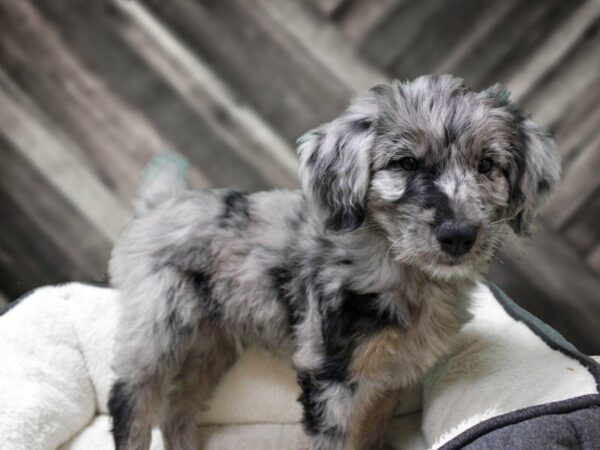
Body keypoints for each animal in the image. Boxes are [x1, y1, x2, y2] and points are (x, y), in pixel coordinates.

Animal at [109, 74, 564, 450]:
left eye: (487, 165)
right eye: (406, 163)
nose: (458, 235)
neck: (404, 271)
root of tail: (159, 204)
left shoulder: (393, 374)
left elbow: (371, 433)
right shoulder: (331, 375)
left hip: (212, 341)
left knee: (177, 409)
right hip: (159, 324)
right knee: (132, 399)